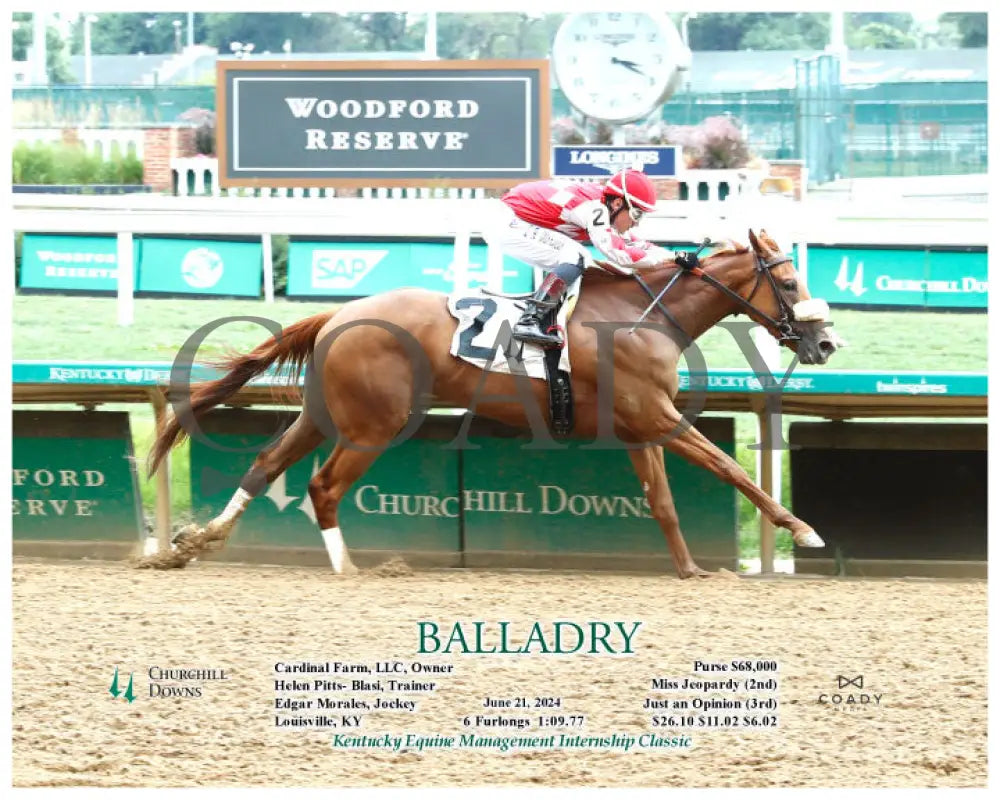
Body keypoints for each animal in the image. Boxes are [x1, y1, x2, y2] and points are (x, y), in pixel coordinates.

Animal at [145, 228, 840, 580]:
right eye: (787, 280)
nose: (826, 341)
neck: (643, 315)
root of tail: (337, 314)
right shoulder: (658, 417)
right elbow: (732, 469)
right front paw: (804, 528)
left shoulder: (639, 426)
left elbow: (664, 502)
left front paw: (693, 568)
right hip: (375, 424)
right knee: (321, 486)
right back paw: (351, 567)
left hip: (324, 411)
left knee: (266, 465)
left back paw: (197, 541)